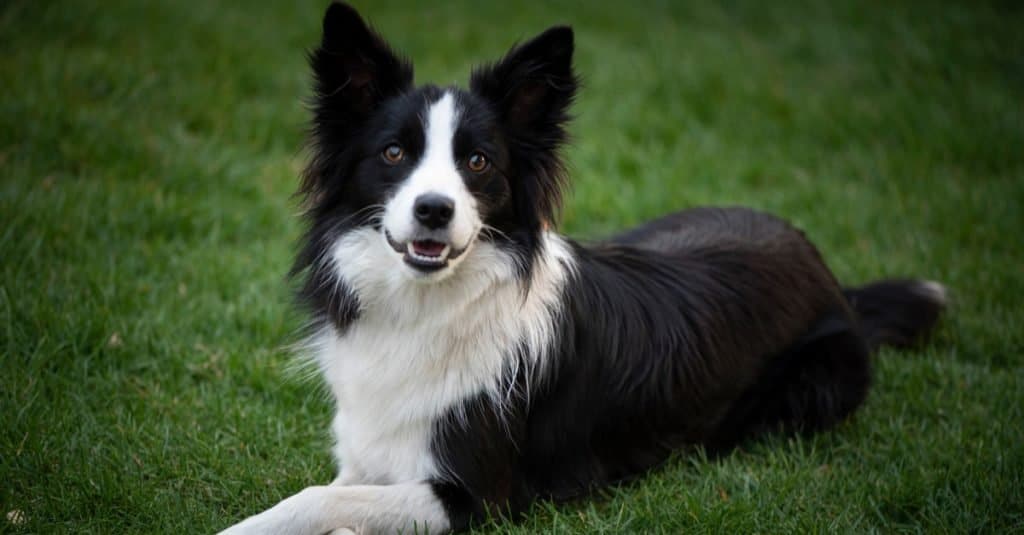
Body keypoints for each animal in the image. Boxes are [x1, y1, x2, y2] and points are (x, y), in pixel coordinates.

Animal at [220, 3, 946, 528]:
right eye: (394, 152)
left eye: (478, 161)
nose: (433, 210)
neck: (428, 306)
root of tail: (824, 267)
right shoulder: (370, 454)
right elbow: (316, 494)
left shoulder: (477, 494)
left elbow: (320, 499)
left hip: (815, 386)